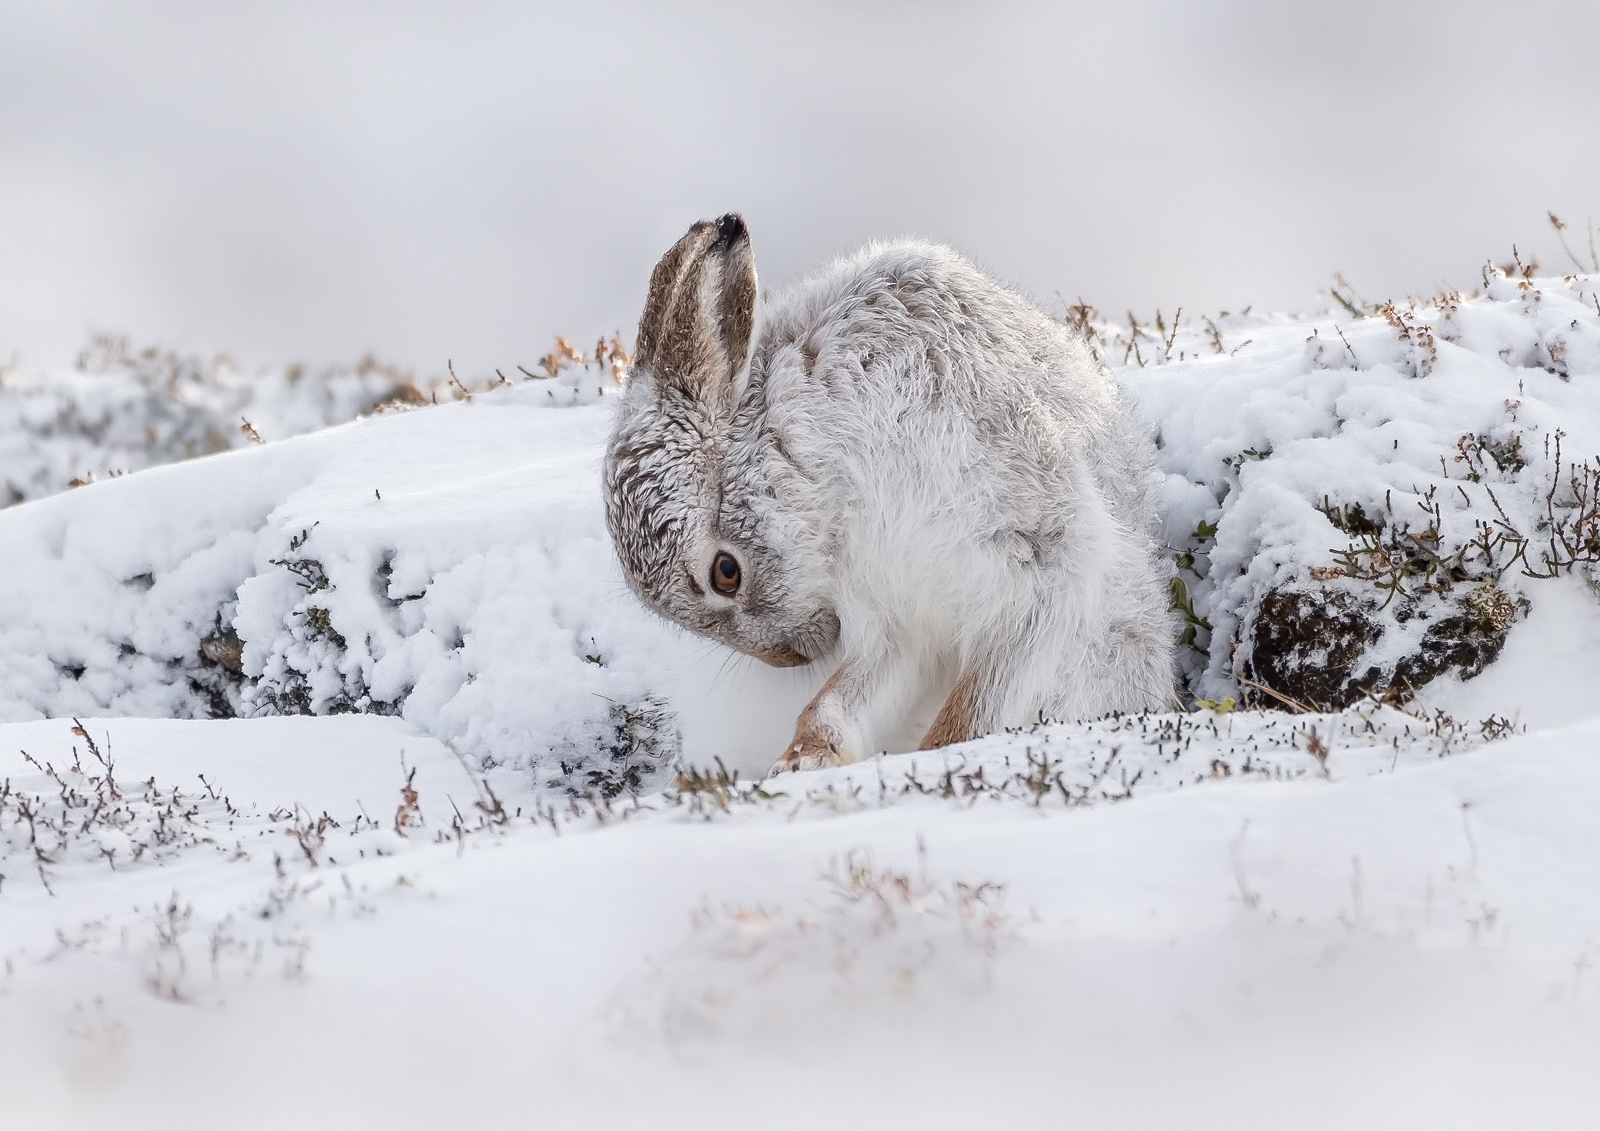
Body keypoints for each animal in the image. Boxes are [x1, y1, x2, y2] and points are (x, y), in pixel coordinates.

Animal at [604, 213, 1175, 773]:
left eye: (726, 573)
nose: (792, 658)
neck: (826, 465)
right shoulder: (890, 614)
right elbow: (840, 700)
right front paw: (802, 761)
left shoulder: (1038, 560)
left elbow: (980, 702)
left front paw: (938, 752)